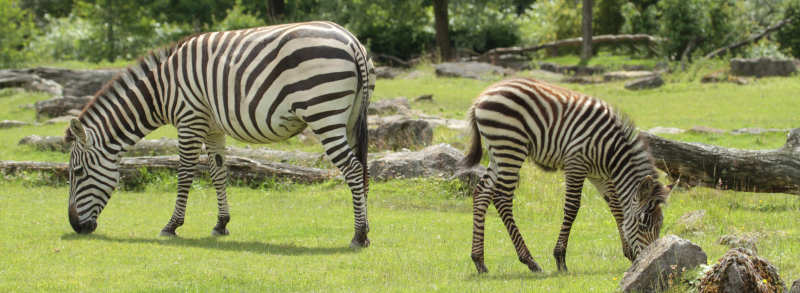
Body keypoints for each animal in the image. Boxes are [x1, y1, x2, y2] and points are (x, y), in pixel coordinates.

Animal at [65, 20, 376, 246]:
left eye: (78, 172)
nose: (76, 227)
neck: (162, 90)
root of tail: (351, 40)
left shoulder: (189, 119)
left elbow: (185, 173)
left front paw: (172, 226)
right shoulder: (213, 127)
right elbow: (218, 172)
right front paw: (221, 224)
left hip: (323, 113)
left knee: (352, 168)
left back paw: (359, 235)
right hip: (351, 117)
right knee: (362, 170)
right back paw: (366, 229)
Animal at [462, 77, 676, 272]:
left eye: (660, 224)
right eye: (643, 224)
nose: (652, 259)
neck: (611, 152)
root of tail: (482, 96)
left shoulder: (599, 175)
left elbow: (616, 208)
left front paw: (629, 253)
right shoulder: (576, 164)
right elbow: (572, 208)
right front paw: (560, 258)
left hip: (498, 153)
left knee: (482, 193)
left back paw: (479, 261)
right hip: (510, 147)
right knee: (501, 198)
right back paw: (530, 261)